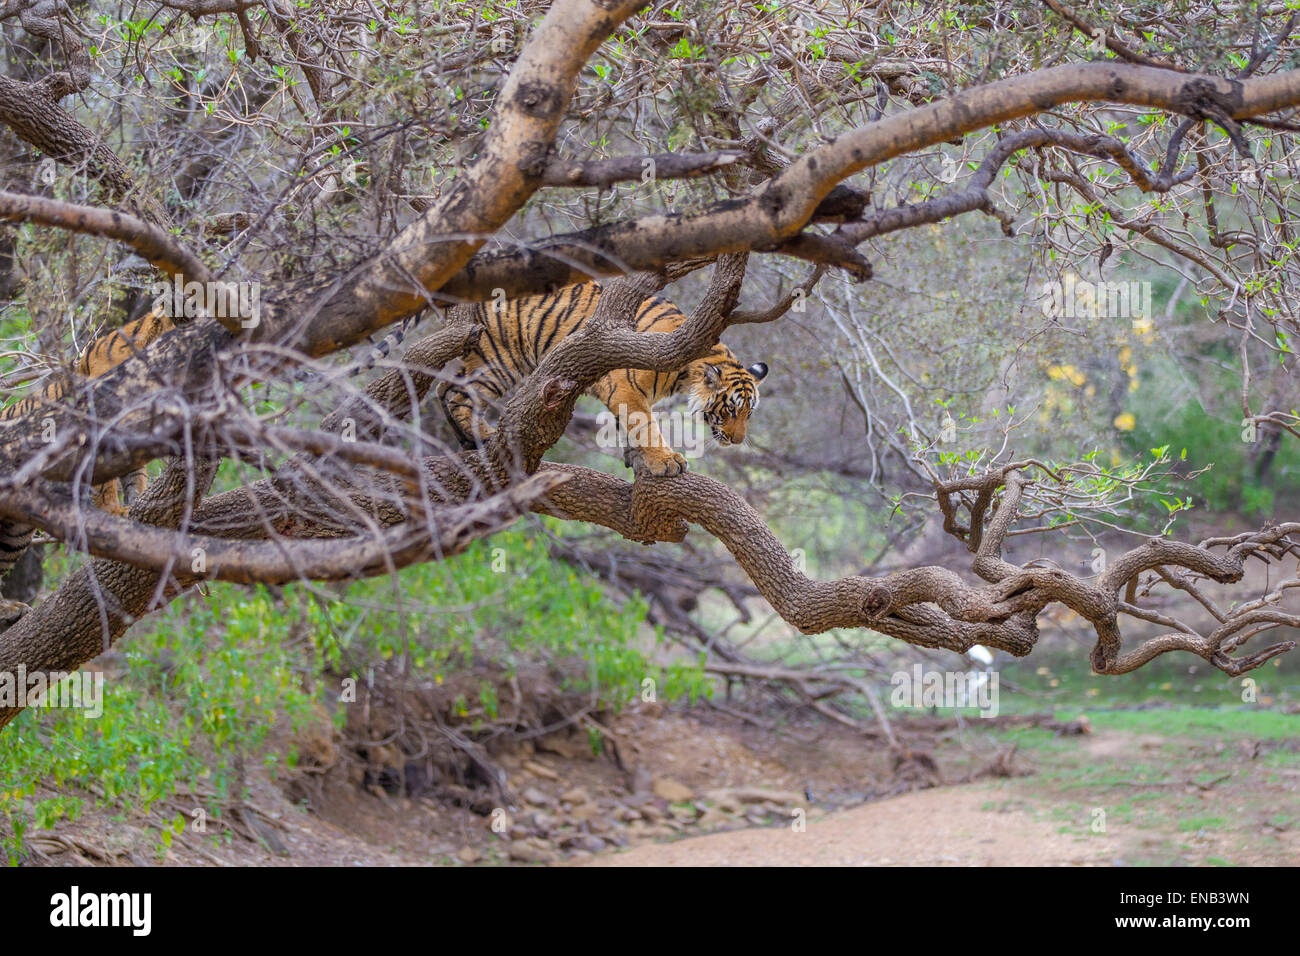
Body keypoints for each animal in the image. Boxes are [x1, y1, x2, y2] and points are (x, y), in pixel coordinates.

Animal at [436, 283, 764, 478]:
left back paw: (467, 440)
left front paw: (637, 457)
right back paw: (484, 434)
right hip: (500, 359)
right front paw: (666, 461)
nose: (737, 441)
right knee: (458, 395)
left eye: (749, 413)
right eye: (730, 409)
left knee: (442, 386)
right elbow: (645, 425)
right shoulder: (627, 387)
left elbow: (629, 427)